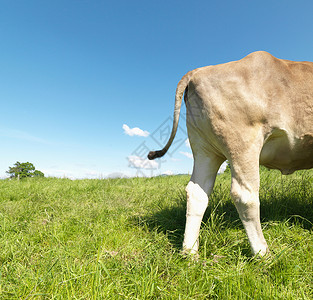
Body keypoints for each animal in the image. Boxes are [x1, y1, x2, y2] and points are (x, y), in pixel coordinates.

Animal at [147, 51, 312, 255]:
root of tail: (197, 71)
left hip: (204, 149)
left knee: (197, 193)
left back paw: (190, 252)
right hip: (242, 142)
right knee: (245, 195)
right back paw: (262, 253)